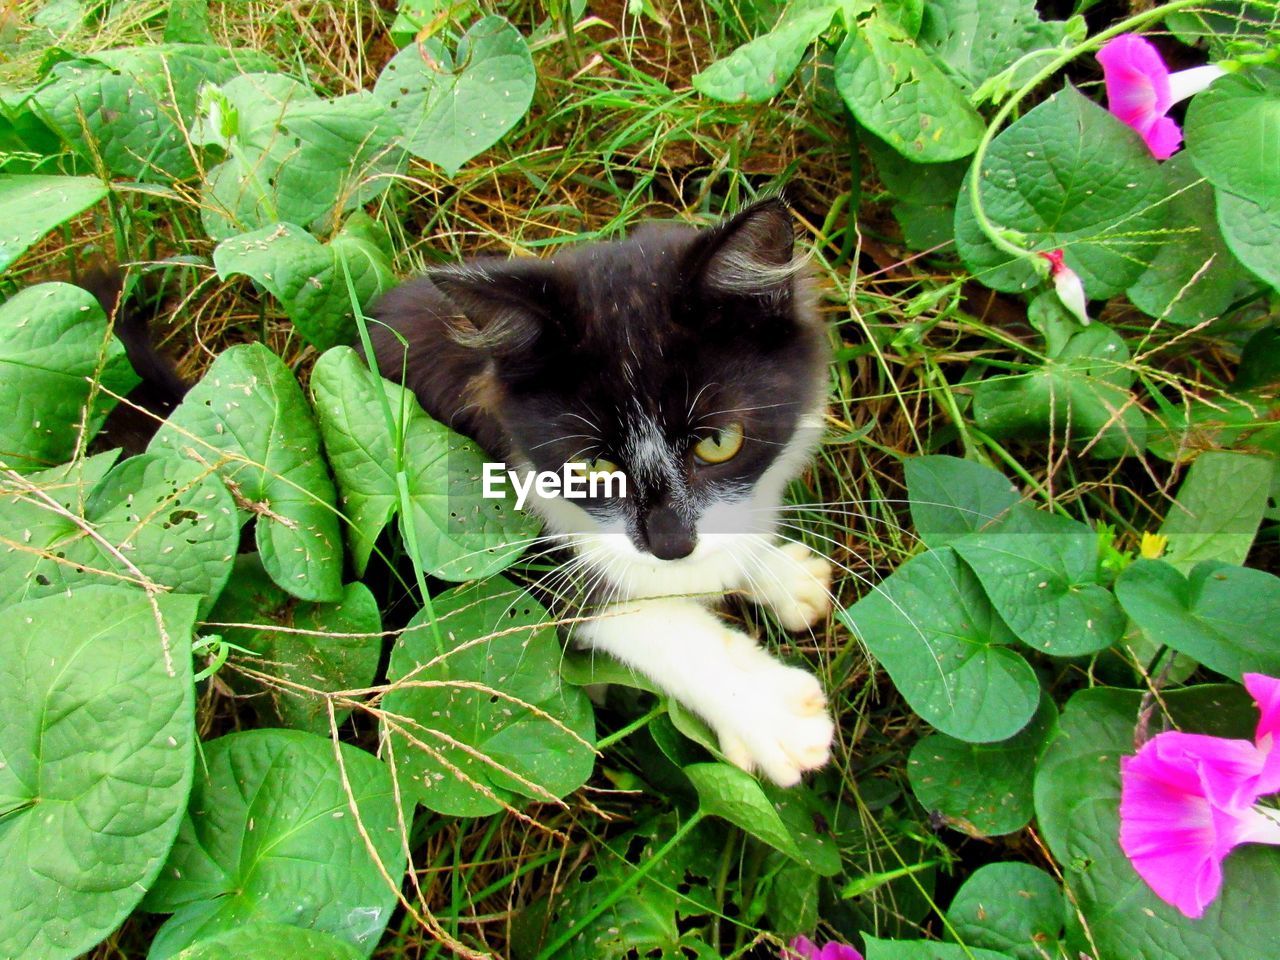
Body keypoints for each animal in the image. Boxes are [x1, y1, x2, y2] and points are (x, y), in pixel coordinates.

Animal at [366, 199, 834, 783]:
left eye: (719, 442)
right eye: (590, 466)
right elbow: (638, 615)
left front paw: (783, 576)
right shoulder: (496, 546)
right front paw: (771, 713)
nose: (671, 544)